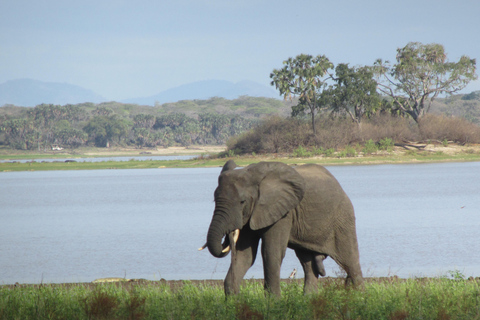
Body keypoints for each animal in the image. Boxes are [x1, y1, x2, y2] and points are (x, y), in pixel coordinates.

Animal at [200, 161, 364, 296]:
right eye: (214, 200)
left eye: (242, 201)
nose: (229, 235)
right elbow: (245, 256)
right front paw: (232, 302)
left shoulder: (283, 212)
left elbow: (271, 252)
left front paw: (273, 303)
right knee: (307, 262)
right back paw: (309, 299)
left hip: (343, 218)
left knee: (350, 260)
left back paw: (359, 298)